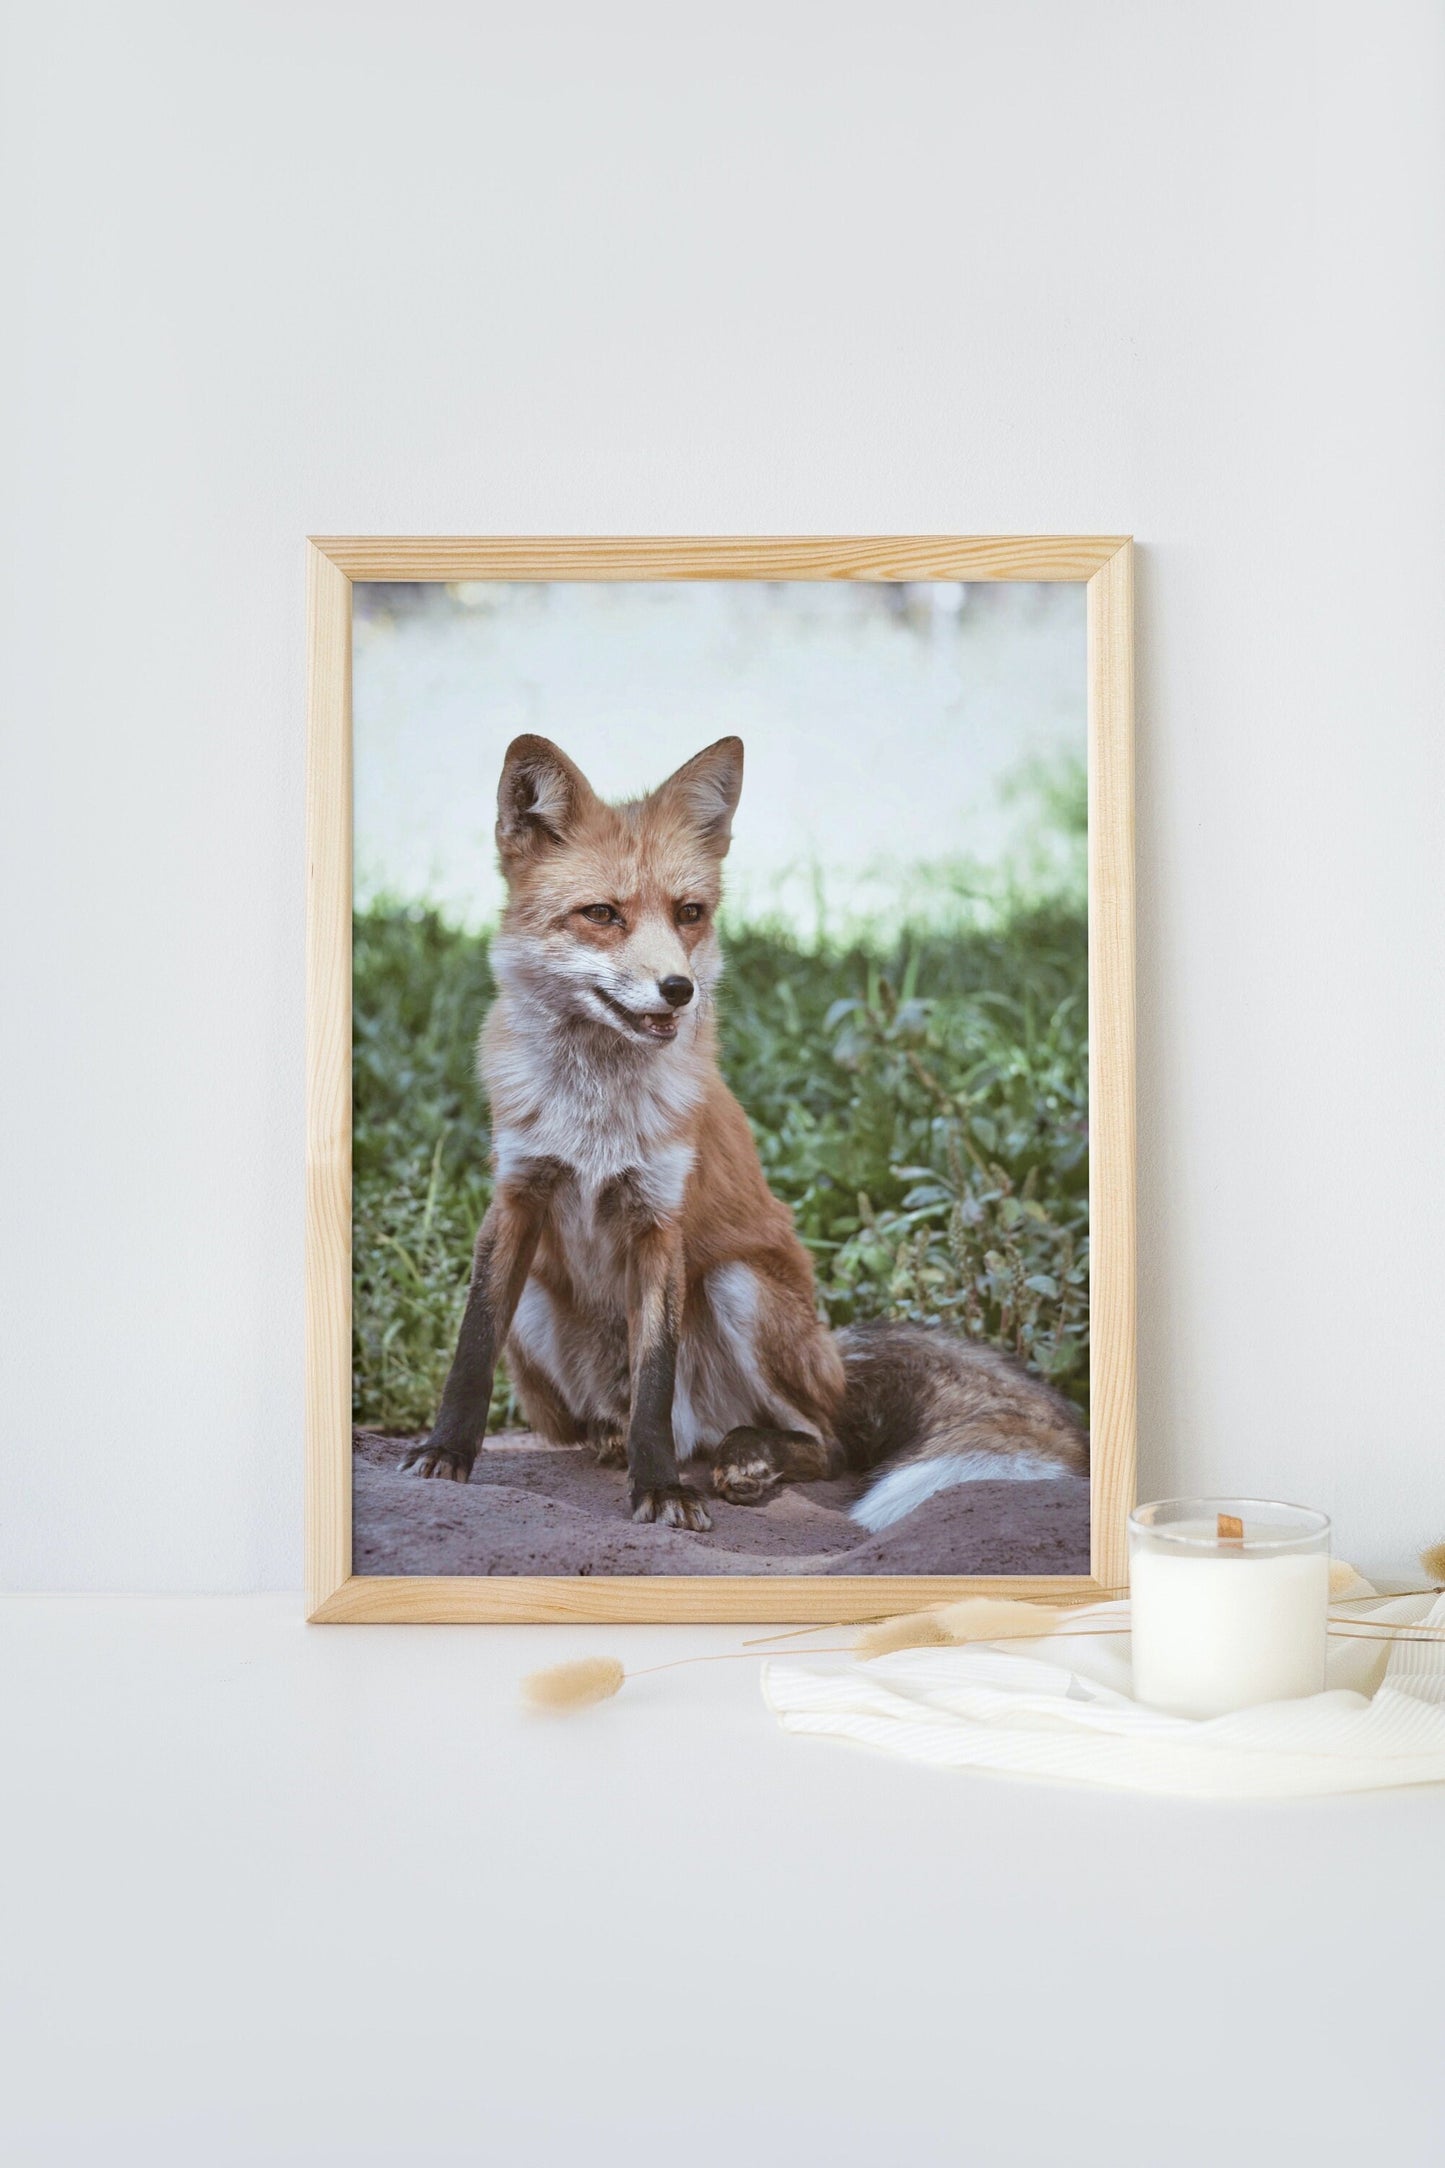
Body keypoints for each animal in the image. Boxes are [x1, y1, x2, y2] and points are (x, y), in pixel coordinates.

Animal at [401, 732, 1087, 1532]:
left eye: (689, 912)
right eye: (601, 914)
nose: (678, 989)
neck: (596, 1111)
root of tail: (833, 1356)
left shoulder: (659, 1219)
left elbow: (655, 1378)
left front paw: (660, 1490)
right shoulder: (516, 1197)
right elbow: (471, 1348)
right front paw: (445, 1452)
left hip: (740, 1287)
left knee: (825, 1442)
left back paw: (744, 1458)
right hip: (541, 1301)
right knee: (616, 1419)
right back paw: (620, 1441)